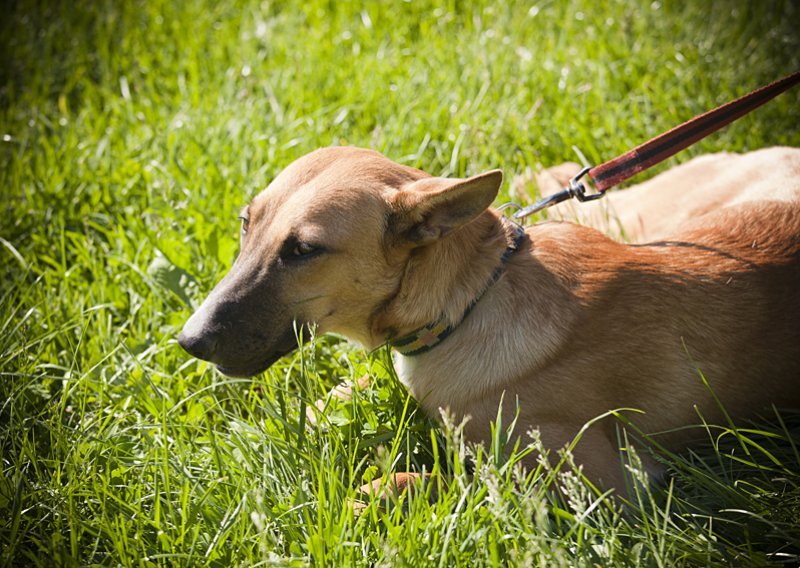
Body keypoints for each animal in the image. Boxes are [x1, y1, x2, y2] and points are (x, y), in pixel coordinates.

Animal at [180, 145, 800, 492]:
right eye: (246, 223)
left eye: (304, 250)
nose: (189, 341)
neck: (475, 296)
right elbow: (329, 401)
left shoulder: (602, 484)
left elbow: (453, 484)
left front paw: (368, 494)